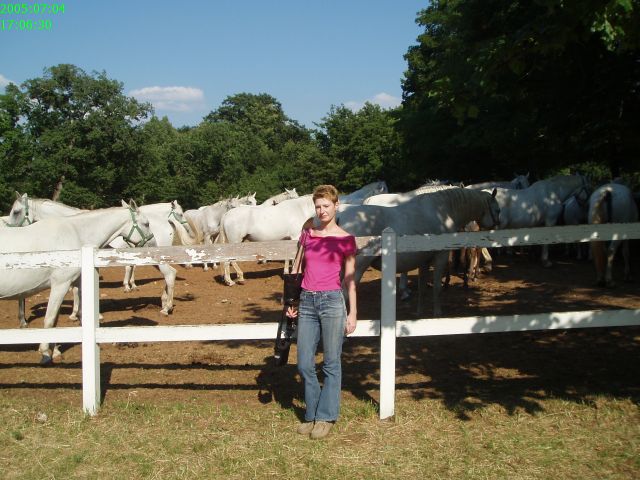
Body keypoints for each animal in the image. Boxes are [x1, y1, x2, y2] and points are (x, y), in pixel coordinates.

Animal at [0, 201, 154, 364]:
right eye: (146, 223)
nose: (152, 243)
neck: (74, 234)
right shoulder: (61, 284)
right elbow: (50, 319)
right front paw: (45, 353)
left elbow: (58, 319)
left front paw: (55, 351)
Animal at [336, 188, 500, 316]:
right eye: (497, 210)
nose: (496, 227)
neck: (442, 212)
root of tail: (339, 217)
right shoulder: (440, 256)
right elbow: (437, 288)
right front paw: (437, 314)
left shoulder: (424, 260)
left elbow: (422, 288)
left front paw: (419, 313)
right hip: (357, 269)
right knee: (344, 294)